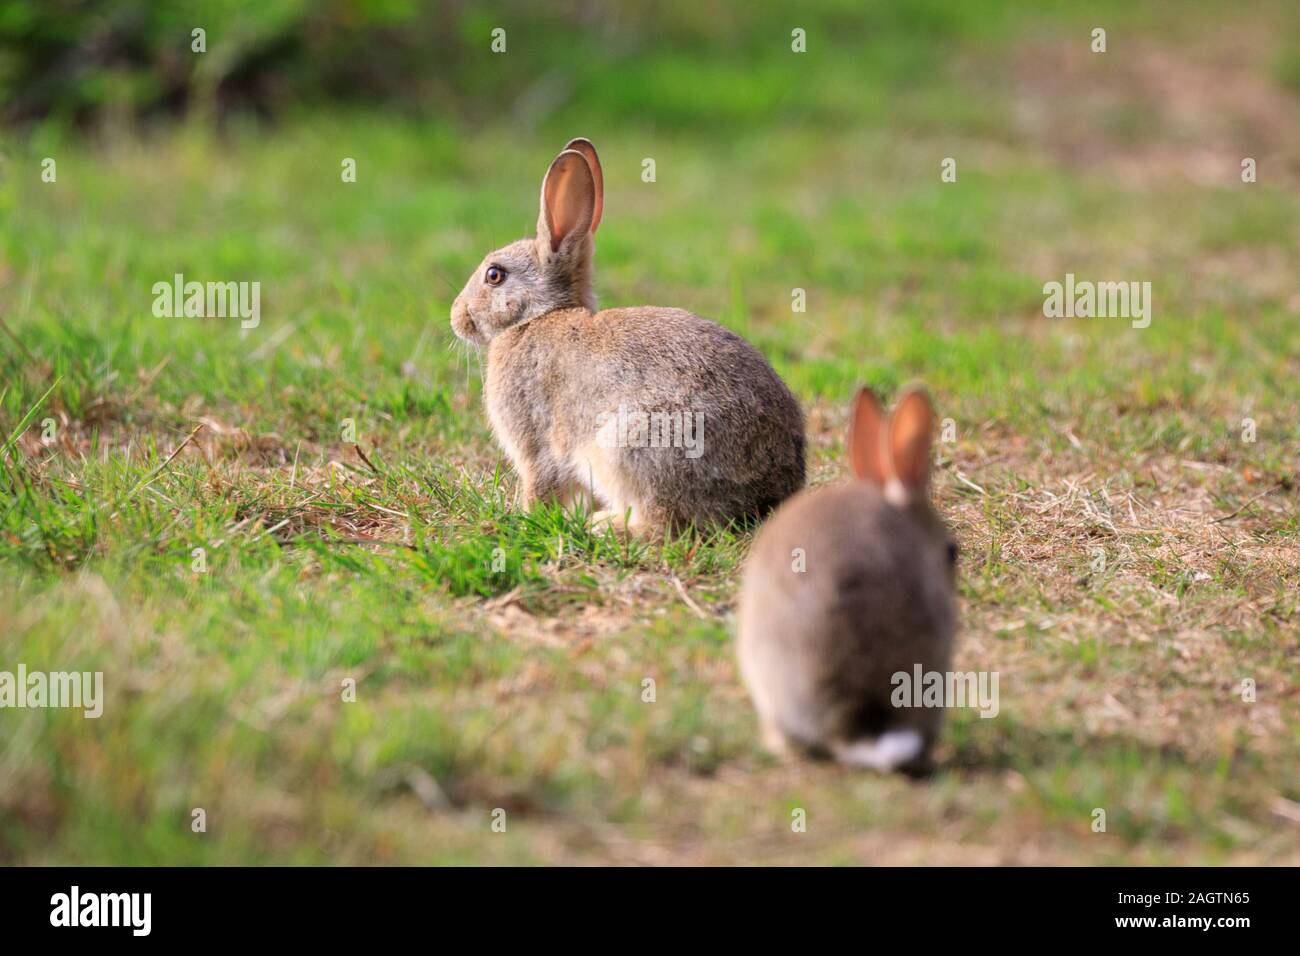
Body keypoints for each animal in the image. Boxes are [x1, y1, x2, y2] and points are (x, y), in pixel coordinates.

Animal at [449, 139, 800, 535]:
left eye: (494, 275)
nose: (456, 317)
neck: (538, 316)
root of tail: (769, 492)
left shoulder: (535, 443)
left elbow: (540, 484)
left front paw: (526, 519)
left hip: (632, 444)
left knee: (661, 523)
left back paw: (604, 526)